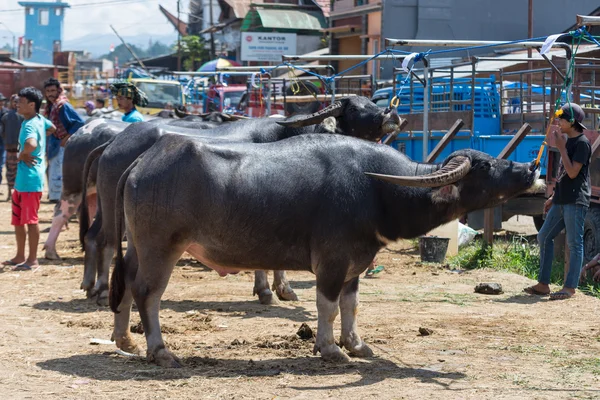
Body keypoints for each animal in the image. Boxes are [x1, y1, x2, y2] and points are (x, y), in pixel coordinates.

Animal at [77, 98, 400, 304]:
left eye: (372, 102)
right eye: (356, 108)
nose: (391, 115)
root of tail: (114, 142)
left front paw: (276, 289)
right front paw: (273, 290)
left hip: (106, 206)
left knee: (93, 237)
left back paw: (90, 286)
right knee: (107, 242)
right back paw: (102, 290)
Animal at [109, 136, 544, 368]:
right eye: (484, 166)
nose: (530, 170)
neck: (377, 190)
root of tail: (143, 160)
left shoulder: (356, 262)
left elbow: (351, 306)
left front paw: (357, 344)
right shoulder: (332, 261)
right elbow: (328, 306)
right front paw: (330, 348)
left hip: (138, 248)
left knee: (126, 283)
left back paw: (125, 340)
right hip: (161, 247)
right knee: (148, 293)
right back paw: (159, 350)